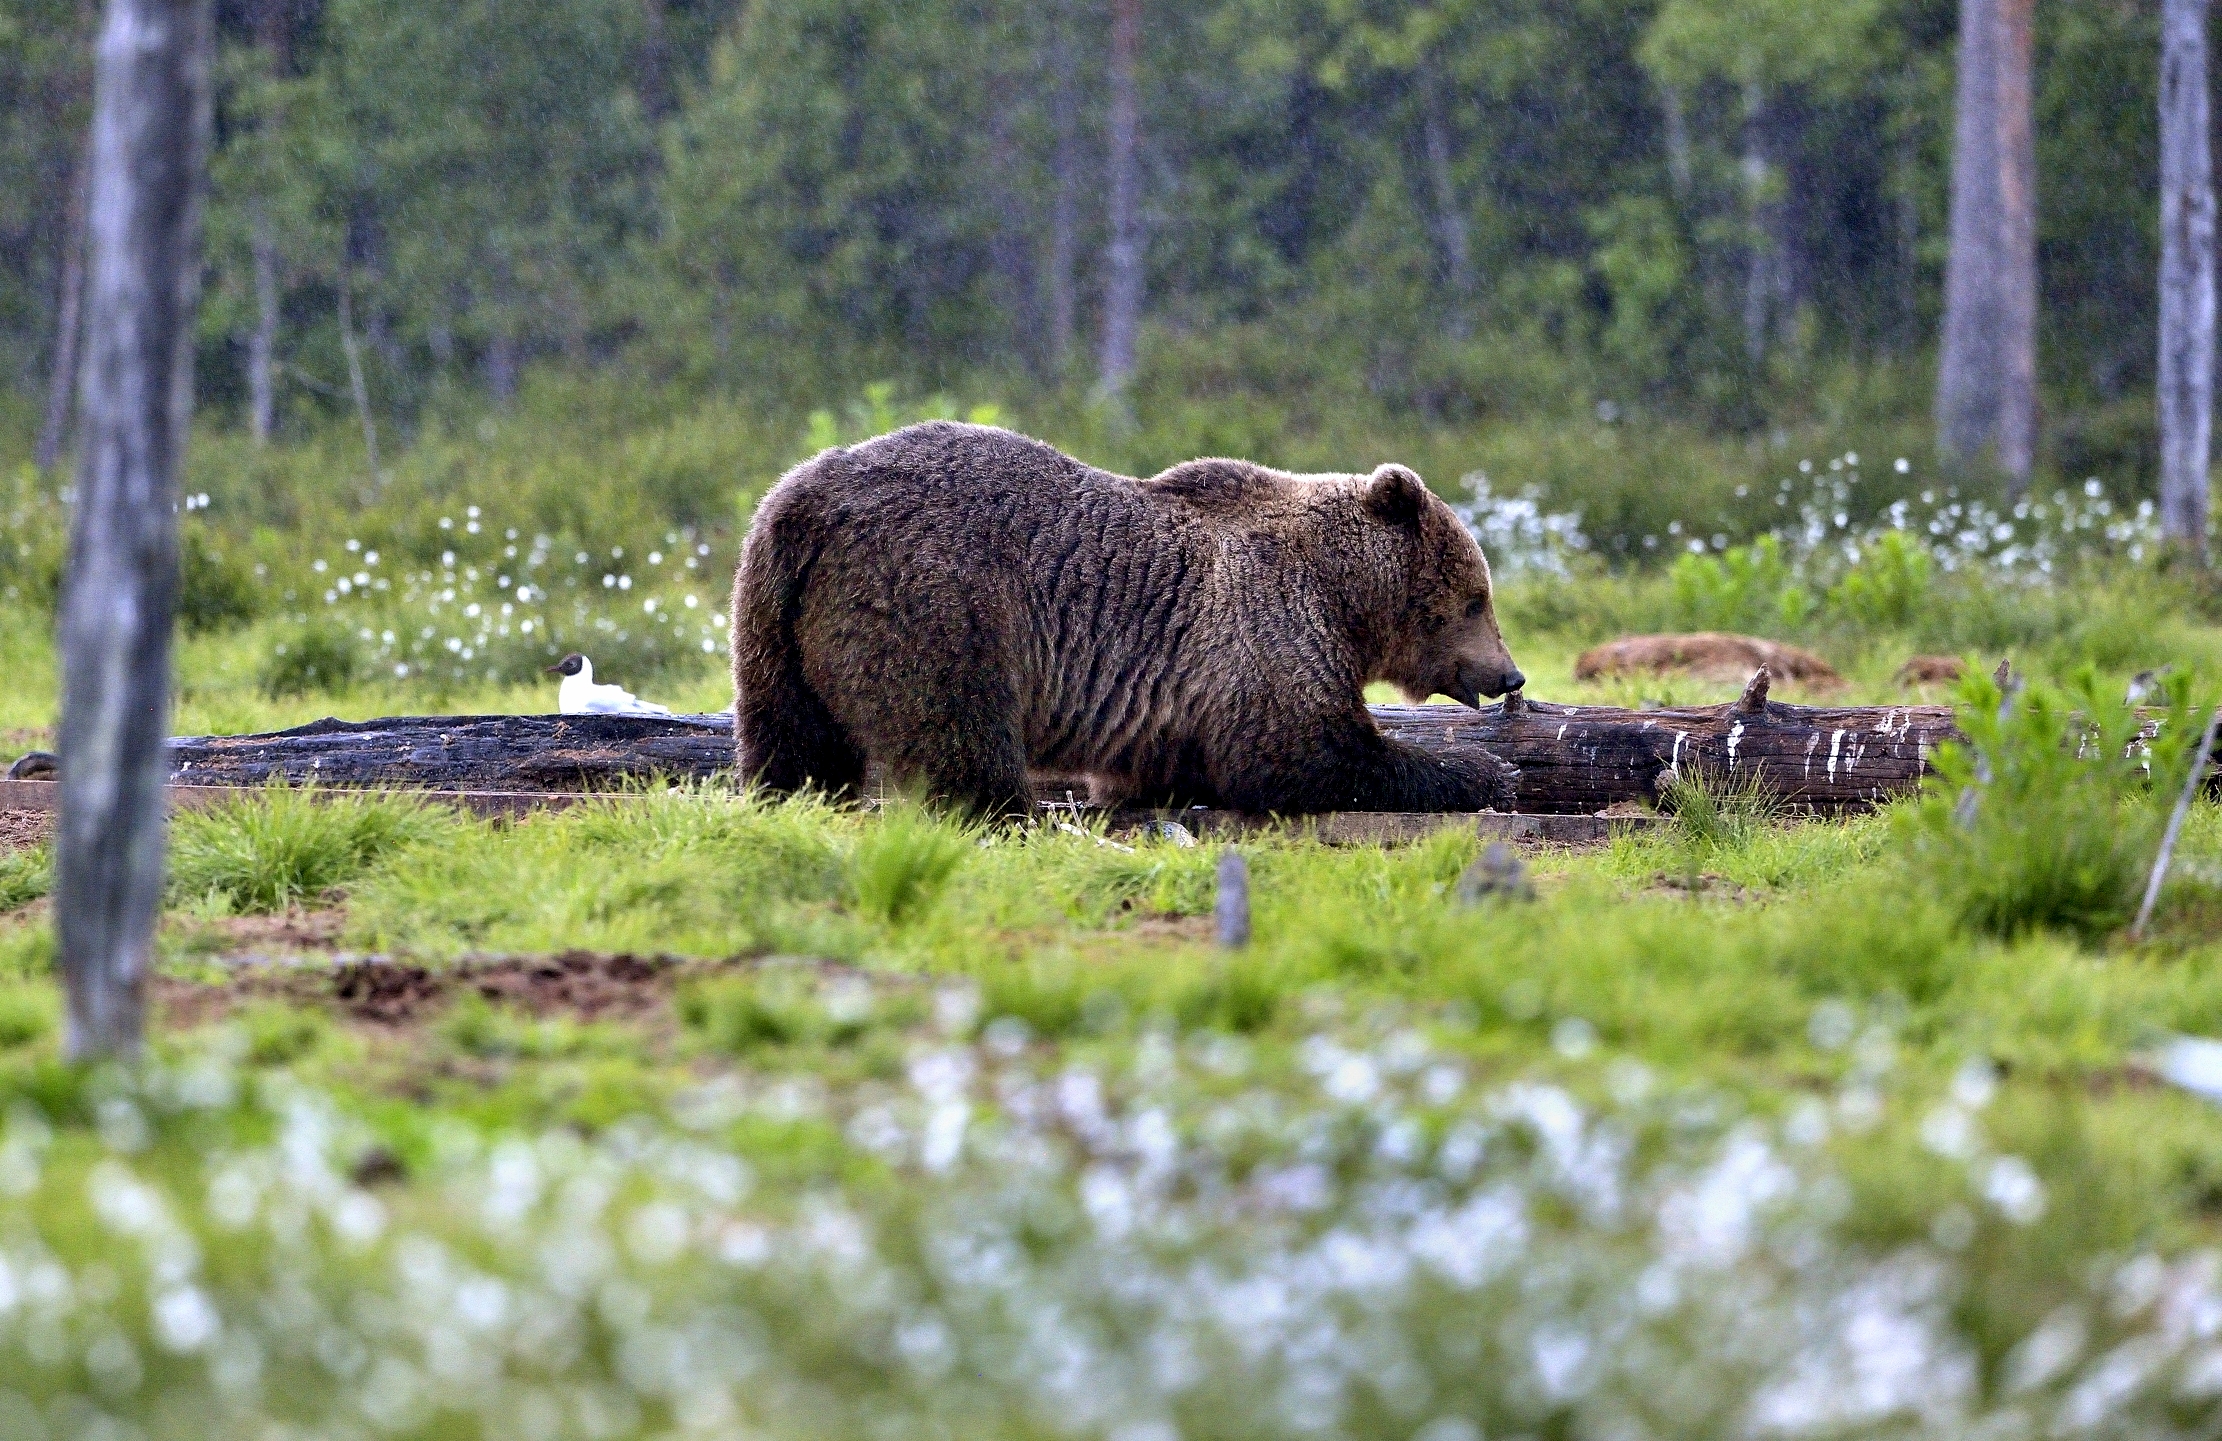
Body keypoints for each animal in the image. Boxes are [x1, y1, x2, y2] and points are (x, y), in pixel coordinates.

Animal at [730, 421, 1523, 817]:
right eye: (1476, 596)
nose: (1510, 673)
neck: (1343, 596)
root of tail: (804, 501)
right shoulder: (1266, 621)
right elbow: (1303, 753)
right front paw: (1488, 770)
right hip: (937, 599)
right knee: (958, 733)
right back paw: (1007, 815)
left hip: (773, 619)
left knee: (793, 741)